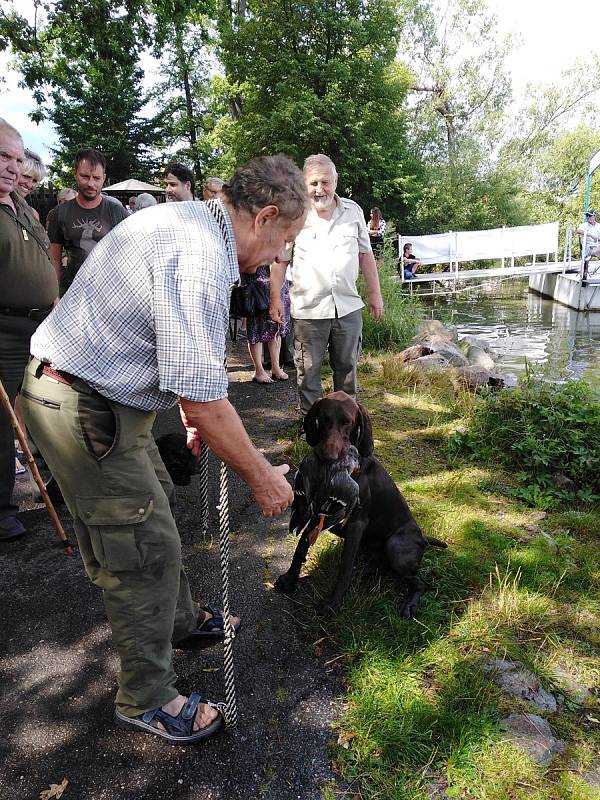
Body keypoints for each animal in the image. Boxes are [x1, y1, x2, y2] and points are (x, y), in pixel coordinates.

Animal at [274, 390, 448, 616]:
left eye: (347, 422)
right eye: (323, 419)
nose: (327, 457)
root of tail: (423, 538)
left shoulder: (356, 522)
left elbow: (345, 567)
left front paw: (333, 603)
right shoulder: (316, 510)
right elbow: (301, 546)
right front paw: (290, 578)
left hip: (396, 546)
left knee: (421, 584)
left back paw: (410, 604)